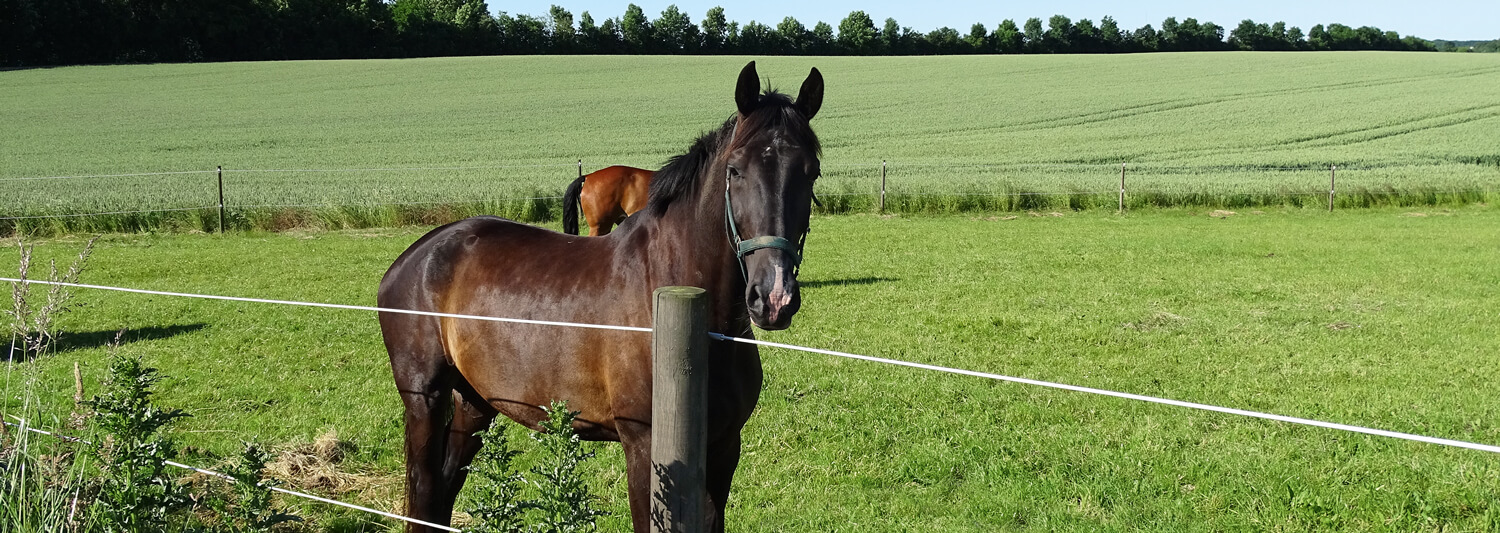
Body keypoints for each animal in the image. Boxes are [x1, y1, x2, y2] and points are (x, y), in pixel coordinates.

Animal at [375, 60, 822, 531]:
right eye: (735, 170)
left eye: (811, 171)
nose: (773, 298)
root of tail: (418, 253)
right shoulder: (646, 449)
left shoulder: (723, 449)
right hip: (424, 398)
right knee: (425, 490)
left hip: (475, 402)